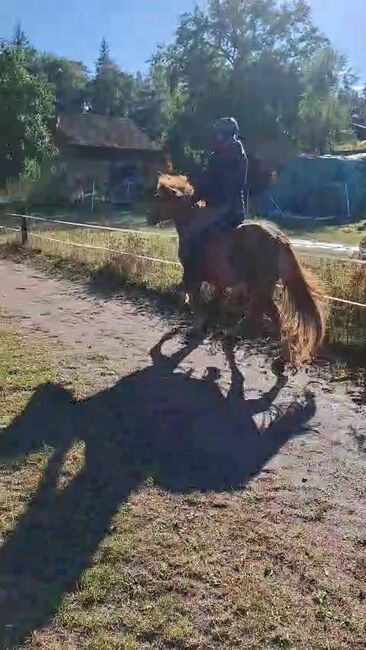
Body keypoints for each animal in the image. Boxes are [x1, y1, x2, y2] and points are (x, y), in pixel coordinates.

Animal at [147, 175, 328, 372]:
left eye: (160, 198)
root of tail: (279, 239)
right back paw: (234, 337)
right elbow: (212, 302)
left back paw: (280, 358)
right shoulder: (217, 282)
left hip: (260, 288)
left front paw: (194, 328)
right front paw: (203, 325)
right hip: (259, 288)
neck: (195, 226)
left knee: (273, 316)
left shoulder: (194, 276)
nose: (150, 218)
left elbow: (195, 301)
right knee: (258, 314)